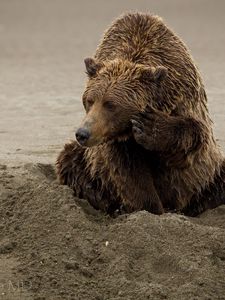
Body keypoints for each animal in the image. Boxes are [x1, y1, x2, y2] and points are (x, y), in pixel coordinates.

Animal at [55, 12, 225, 216]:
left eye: (110, 105)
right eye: (89, 100)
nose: (83, 133)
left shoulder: (183, 96)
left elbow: (192, 139)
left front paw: (150, 127)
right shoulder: (118, 142)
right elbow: (129, 173)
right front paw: (150, 208)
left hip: (211, 175)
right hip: (86, 162)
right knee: (70, 158)